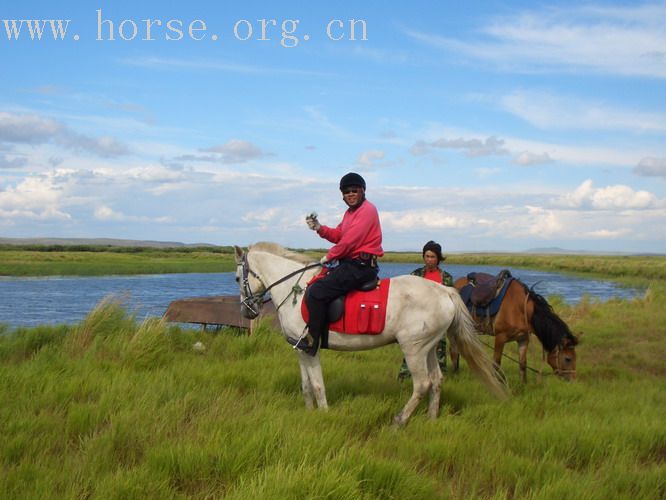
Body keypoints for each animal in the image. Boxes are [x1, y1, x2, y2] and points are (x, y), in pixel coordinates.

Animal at [233, 242, 504, 426]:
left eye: (237, 278)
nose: (246, 312)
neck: (295, 289)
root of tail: (444, 291)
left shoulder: (311, 348)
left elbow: (318, 384)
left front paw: (324, 415)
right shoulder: (301, 349)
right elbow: (306, 385)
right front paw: (309, 413)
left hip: (413, 349)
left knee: (422, 384)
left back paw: (399, 421)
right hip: (428, 347)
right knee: (436, 380)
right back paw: (431, 419)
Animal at [448, 278, 580, 382]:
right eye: (568, 359)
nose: (573, 379)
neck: (521, 309)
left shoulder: (523, 339)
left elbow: (522, 364)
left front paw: (523, 385)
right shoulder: (500, 337)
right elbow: (496, 363)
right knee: (453, 351)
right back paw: (454, 373)